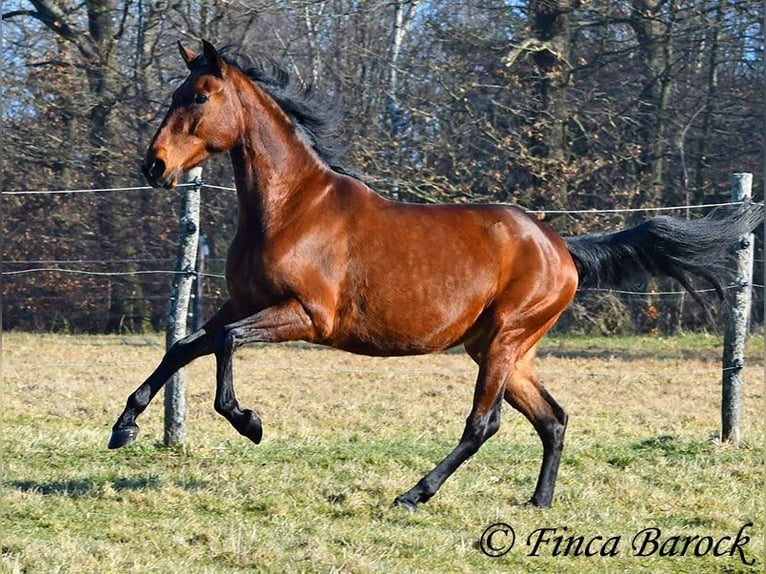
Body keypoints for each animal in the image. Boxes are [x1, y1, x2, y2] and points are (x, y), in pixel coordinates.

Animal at [111, 38, 764, 510]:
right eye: (177, 91)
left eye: (199, 96)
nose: (154, 165)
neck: (290, 207)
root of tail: (562, 247)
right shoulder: (243, 302)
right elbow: (183, 347)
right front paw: (124, 428)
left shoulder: (306, 316)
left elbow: (221, 343)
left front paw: (249, 423)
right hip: (502, 349)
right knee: (552, 419)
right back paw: (539, 503)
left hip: (503, 343)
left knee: (484, 424)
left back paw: (413, 494)